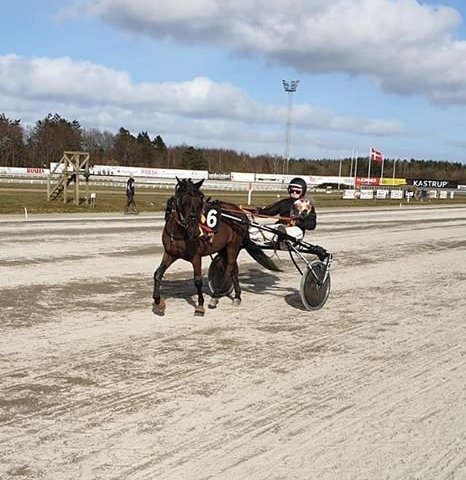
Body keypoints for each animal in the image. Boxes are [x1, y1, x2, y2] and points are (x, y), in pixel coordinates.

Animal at [152, 178, 280, 316]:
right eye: (183, 201)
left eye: (200, 201)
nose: (195, 231)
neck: (179, 232)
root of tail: (241, 213)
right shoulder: (170, 253)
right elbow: (158, 274)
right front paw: (158, 302)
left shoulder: (196, 257)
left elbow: (197, 280)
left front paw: (200, 306)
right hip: (224, 248)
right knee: (232, 269)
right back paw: (237, 296)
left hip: (233, 245)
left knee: (228, 269)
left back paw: (215, 296)